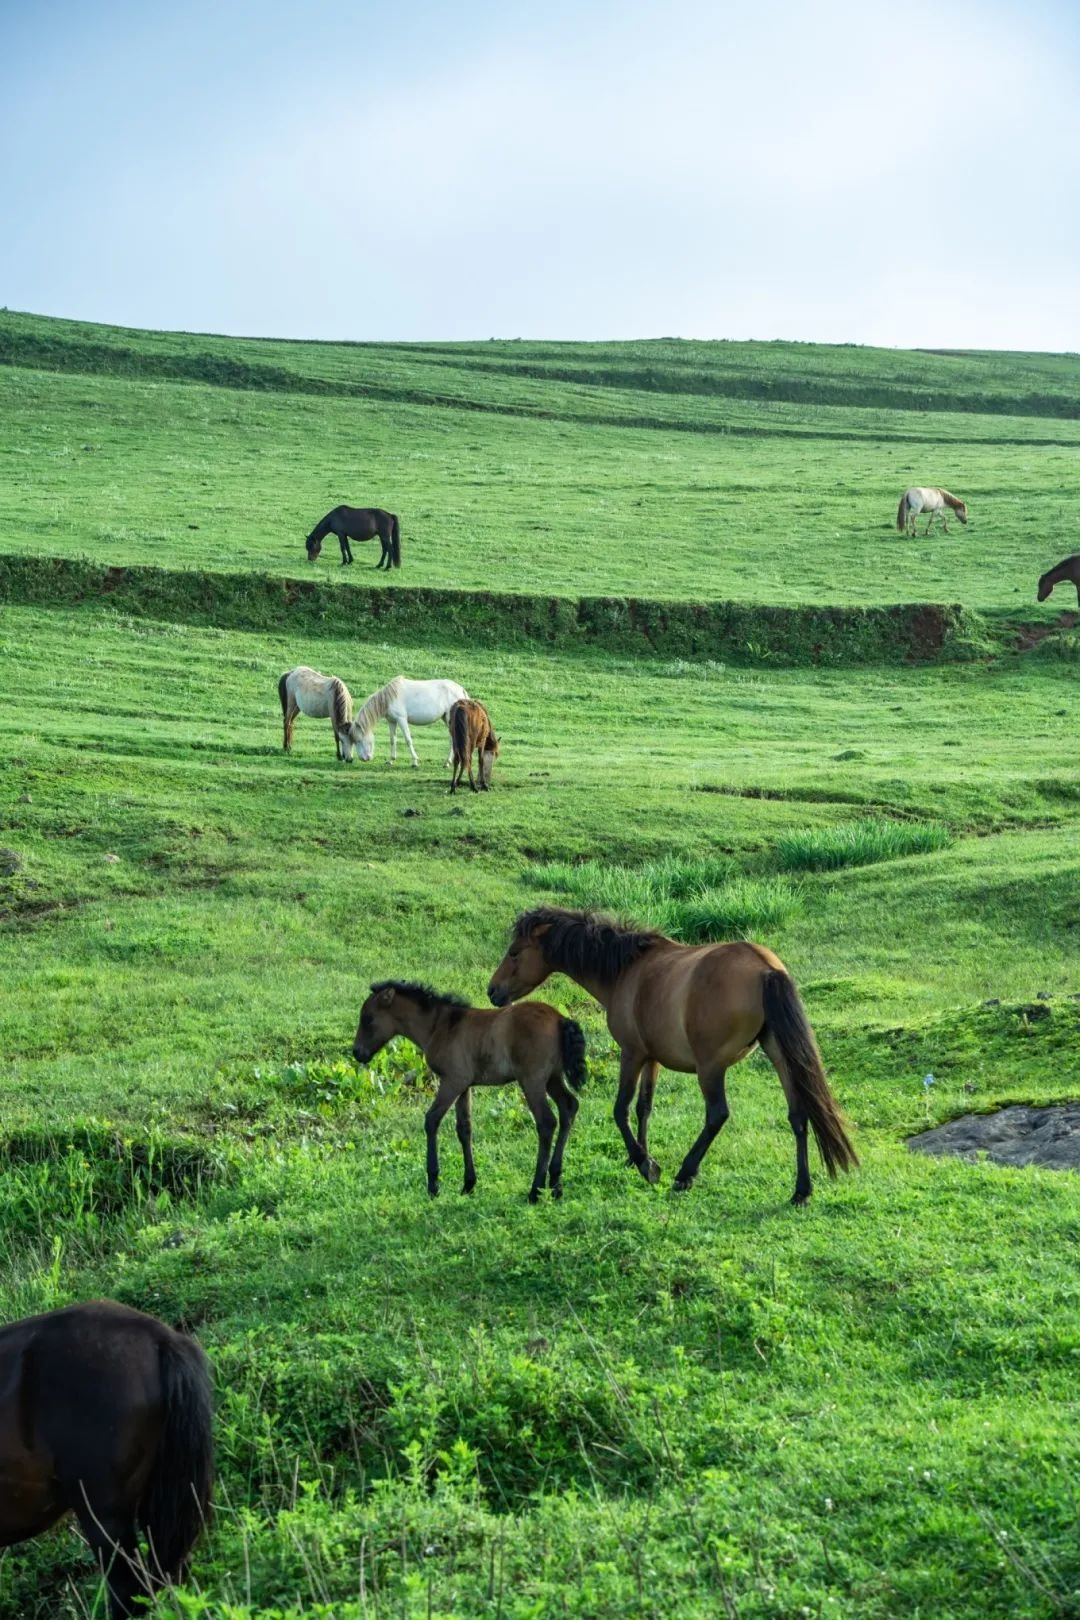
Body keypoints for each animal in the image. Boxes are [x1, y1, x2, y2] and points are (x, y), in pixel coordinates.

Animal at [352, 980, 586, 1201]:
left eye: (368, 1019)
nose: (357, 1053)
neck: (440, 1026)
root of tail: (560, 1019)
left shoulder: (452, 1081)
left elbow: (432, 1120)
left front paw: (433, 1185)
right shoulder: (464, 1086)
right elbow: (464, 1128)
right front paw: (468, 1184)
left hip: (532, 1081)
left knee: (547, 1122)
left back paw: (535, 1190)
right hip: (553, 1078)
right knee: (569, 1107)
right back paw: (556, 1185)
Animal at [487, 906, 858, 1205]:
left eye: (515, 952)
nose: (492, 991)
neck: (627, 970)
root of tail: (766, 969)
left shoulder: (632, 1053)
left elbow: (620, 1109)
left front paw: (645, 1164)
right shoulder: (652, 1059)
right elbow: (644, 1108)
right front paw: (636, 1155)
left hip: (711, 1068)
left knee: (717, 1114)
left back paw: (685, 1174)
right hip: (780, 1057)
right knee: (798, 1116)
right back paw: (801, 1191)